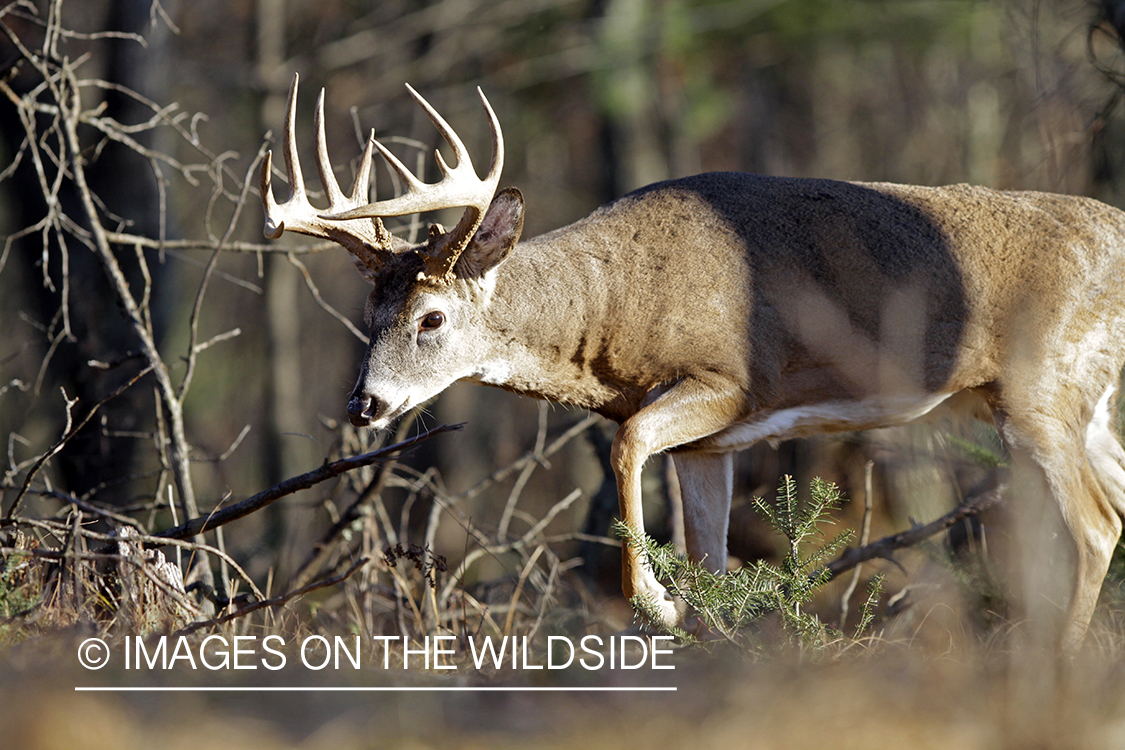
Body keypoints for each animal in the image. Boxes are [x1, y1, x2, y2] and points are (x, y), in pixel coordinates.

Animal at [258, 74, 1125, 652]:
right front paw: (707, 634)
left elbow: (626, 443)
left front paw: (658, 603)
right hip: (1088, 399)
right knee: (1114, 506)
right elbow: (708, 551)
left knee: (1092, 524)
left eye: (431, 318)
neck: (611, 318)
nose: (364, 405)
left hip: (1039, 386)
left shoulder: (730, 381)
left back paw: (1057, 665)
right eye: (370, 315)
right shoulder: (711, 445)